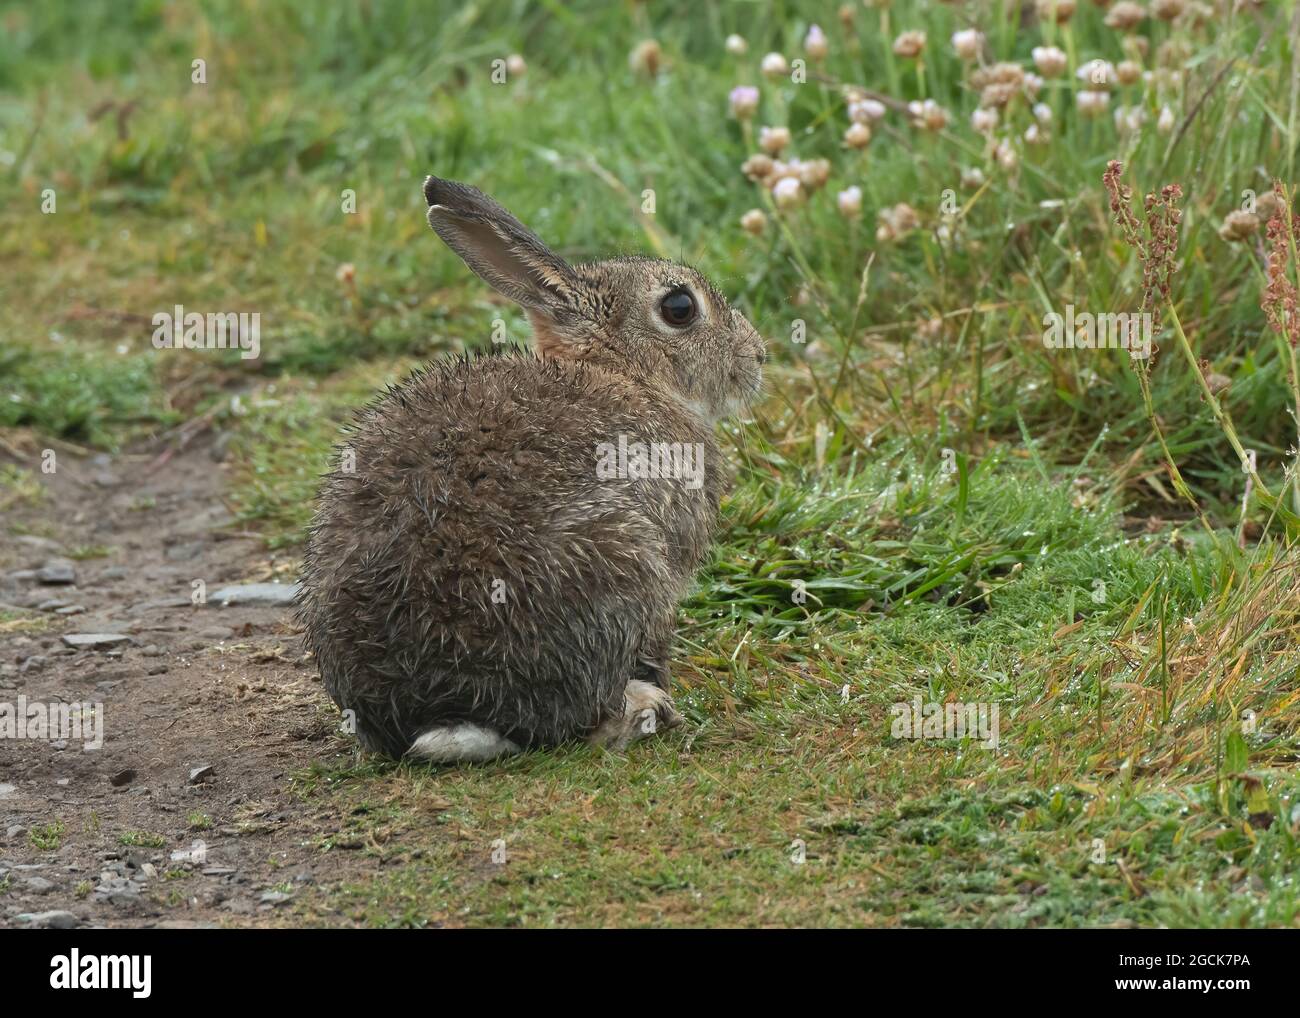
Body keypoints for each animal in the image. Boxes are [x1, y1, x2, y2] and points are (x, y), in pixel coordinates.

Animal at [296, 176, 765, 762]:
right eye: (680, 307)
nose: (758, 356)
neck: (625, 372)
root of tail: (449, 710)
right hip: (615, 557)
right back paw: (644, 711)